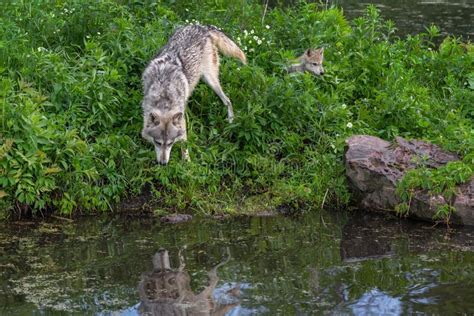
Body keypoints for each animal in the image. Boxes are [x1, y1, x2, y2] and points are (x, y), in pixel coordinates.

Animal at [141, 24, 246, 165]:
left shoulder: (182, 120)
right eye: (158, 143)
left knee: (228, 100)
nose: (163, 164)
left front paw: (187, 161)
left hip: (210, 80)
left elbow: (184, 142)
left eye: (170, 143)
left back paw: (230, 121)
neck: (164, 95)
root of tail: (202, 27)